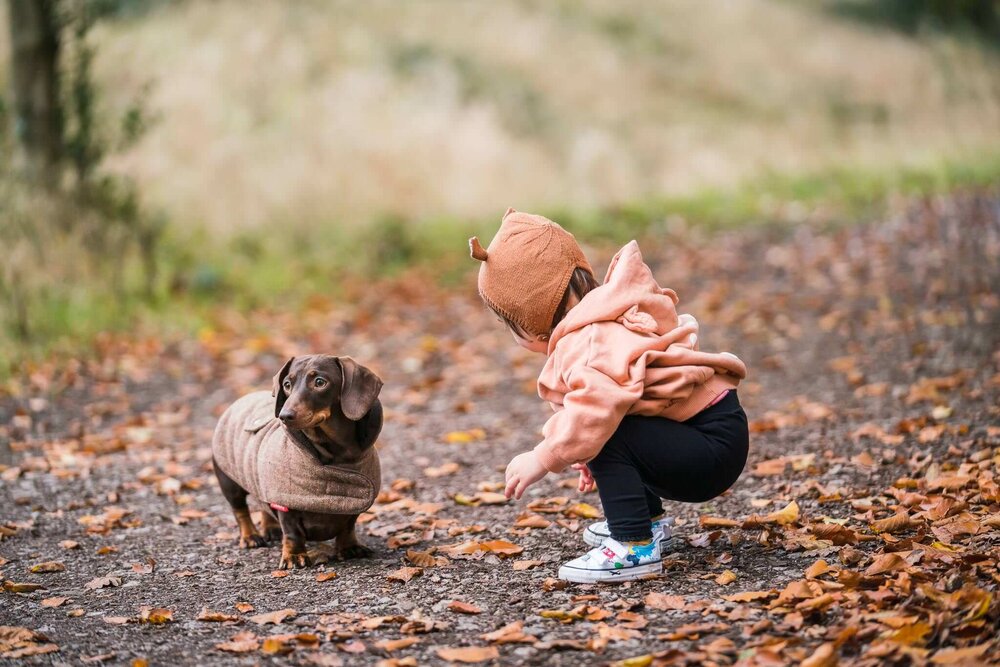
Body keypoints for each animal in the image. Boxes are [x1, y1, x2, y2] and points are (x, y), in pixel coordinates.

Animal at [211, 354, 382, 568]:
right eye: (287, 384)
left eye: (320, 382)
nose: (284, 416)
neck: (336, 453)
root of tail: (243, 398)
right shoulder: (285, 505)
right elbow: (292, 533)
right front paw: (294, 556)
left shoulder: (354, 505)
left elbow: (348, 526)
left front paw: (349, 547)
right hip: (228, 481)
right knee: (240, 510)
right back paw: (250, 536)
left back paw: (271, 528)